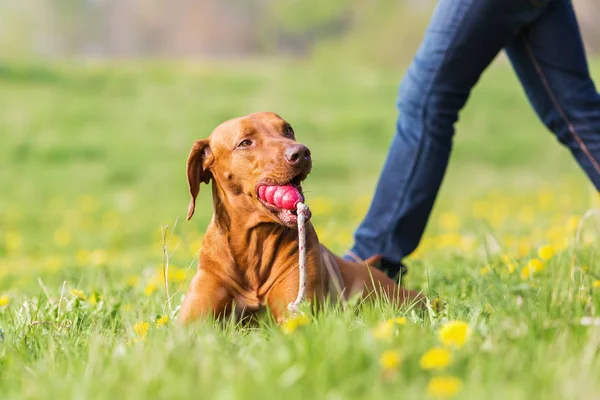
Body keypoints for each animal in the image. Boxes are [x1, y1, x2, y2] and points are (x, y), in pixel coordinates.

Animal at [177, 112, 422, 324]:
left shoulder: (297, 315)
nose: (301, 152)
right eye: (245, 142)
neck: (254, 244)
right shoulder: (189, 326)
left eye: (287, 129)